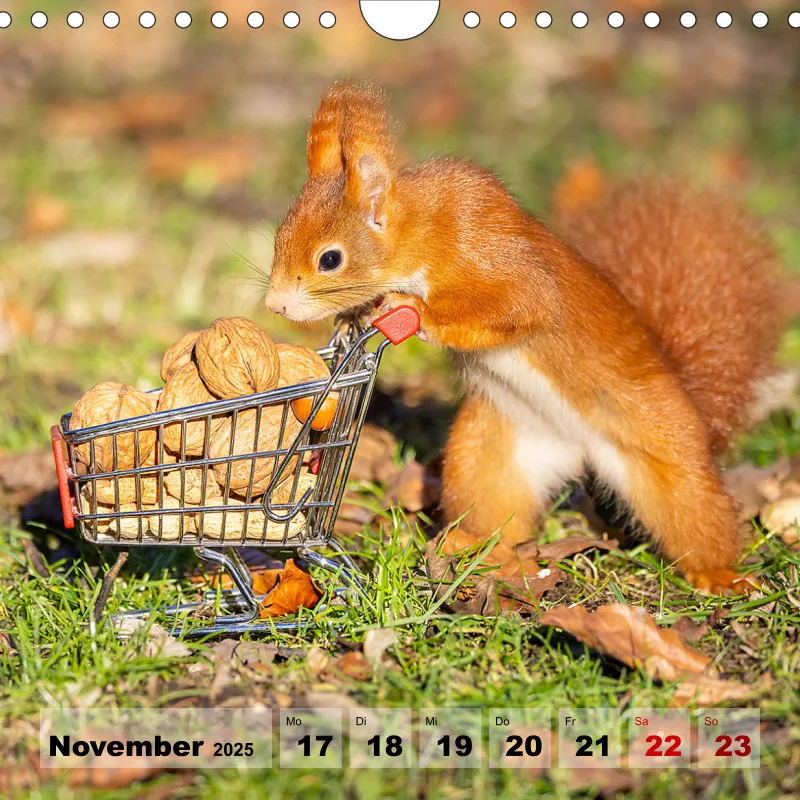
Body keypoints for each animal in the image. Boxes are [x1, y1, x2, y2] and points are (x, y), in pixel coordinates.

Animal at [266, 81, 782, 595]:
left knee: (695, 511)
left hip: (667, 446)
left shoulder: (495, 257)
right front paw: (355, 316)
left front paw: (410, 311)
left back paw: (720, 574)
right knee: (499, 517)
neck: (424, 230)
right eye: (278, 238)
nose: (276, 306)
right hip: (485, 453)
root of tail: (579, 451)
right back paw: (470, 543)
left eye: (330, 259)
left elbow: (518, 306)